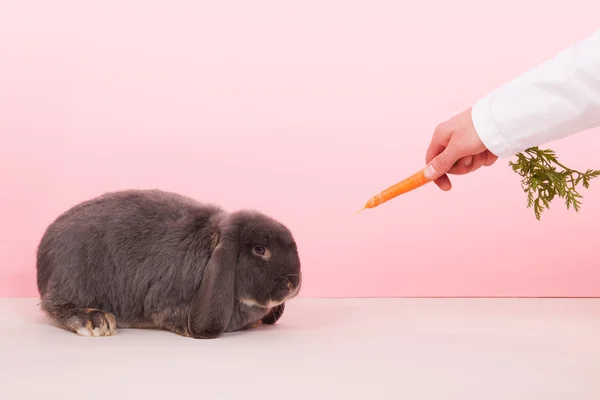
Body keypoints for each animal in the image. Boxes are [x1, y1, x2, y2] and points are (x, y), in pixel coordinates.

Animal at [35, 189, 302, 340]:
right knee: (56, 307)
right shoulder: (164, 299)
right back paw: (96, 321)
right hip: (72, 276)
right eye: (260, 249)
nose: (294, 284)